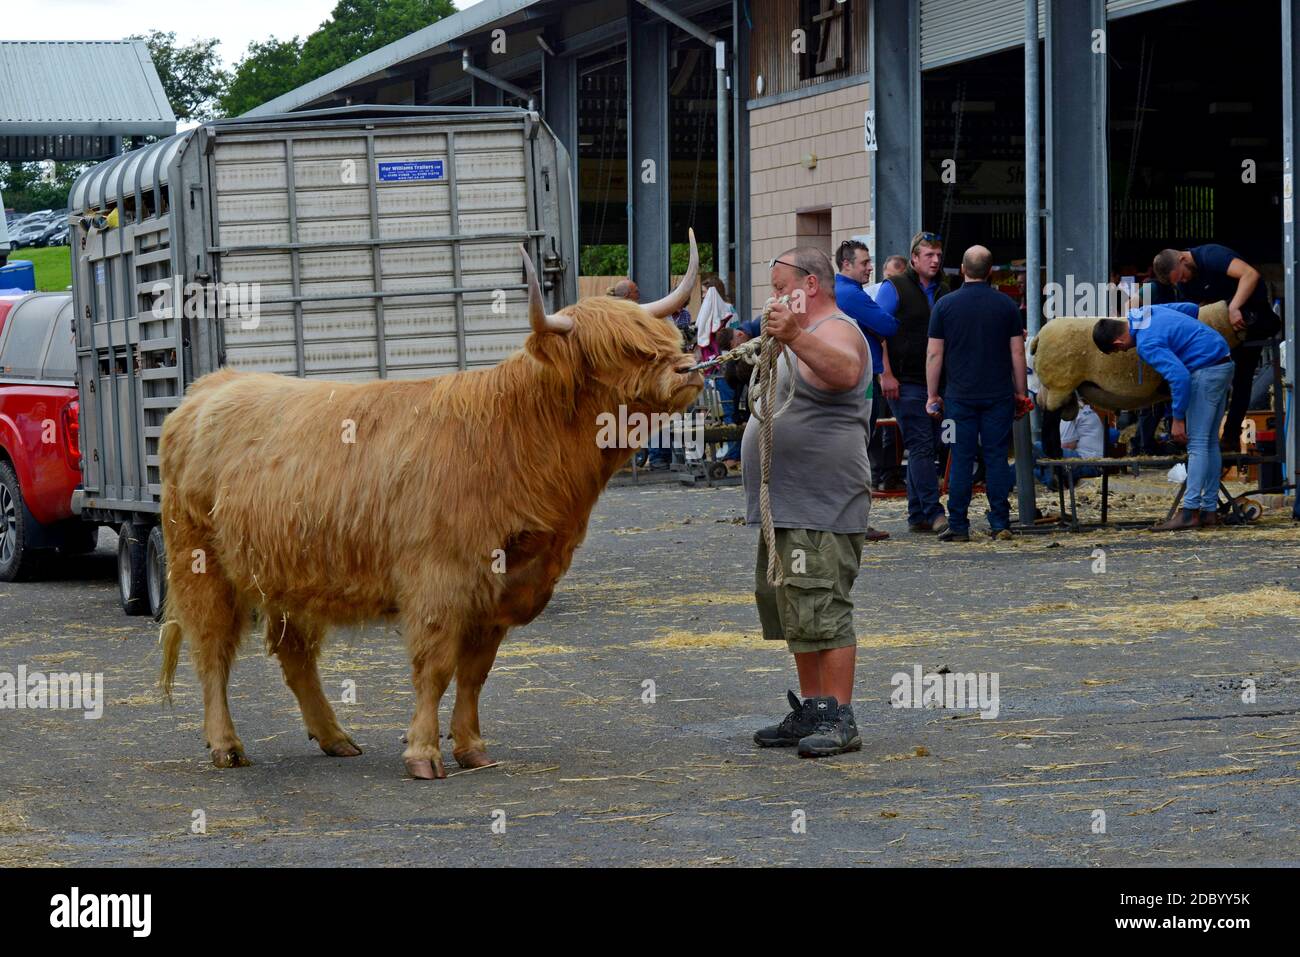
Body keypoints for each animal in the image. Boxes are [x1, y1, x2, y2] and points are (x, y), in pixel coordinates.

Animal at [163, 231, 712, 780]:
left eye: (666, 339)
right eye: (621, 349)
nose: (690, 369)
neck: (516, 438)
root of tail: (210, 386)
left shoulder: (499, 590)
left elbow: (474, 673)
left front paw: (471, 747)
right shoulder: (438, 582)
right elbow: (436, 668)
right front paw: (423, 753)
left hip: (285, 576)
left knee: (295, 655)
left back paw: (335, 737)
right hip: (201, 566)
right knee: (212, 651)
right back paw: (226, 745)